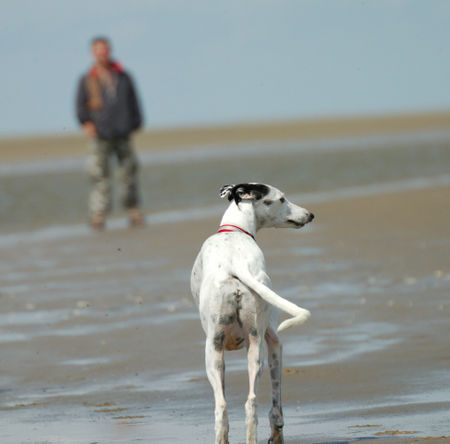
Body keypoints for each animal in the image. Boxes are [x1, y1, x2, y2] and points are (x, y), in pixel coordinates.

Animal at [192, 182, 314, 442]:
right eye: (282, 199)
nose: (310, 215)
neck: (234, 232)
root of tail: (235, 265)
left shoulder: (273, 341)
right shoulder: (273, 342)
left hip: (219, 351)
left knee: (230, 406)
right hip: (249, 351)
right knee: (246, 404)